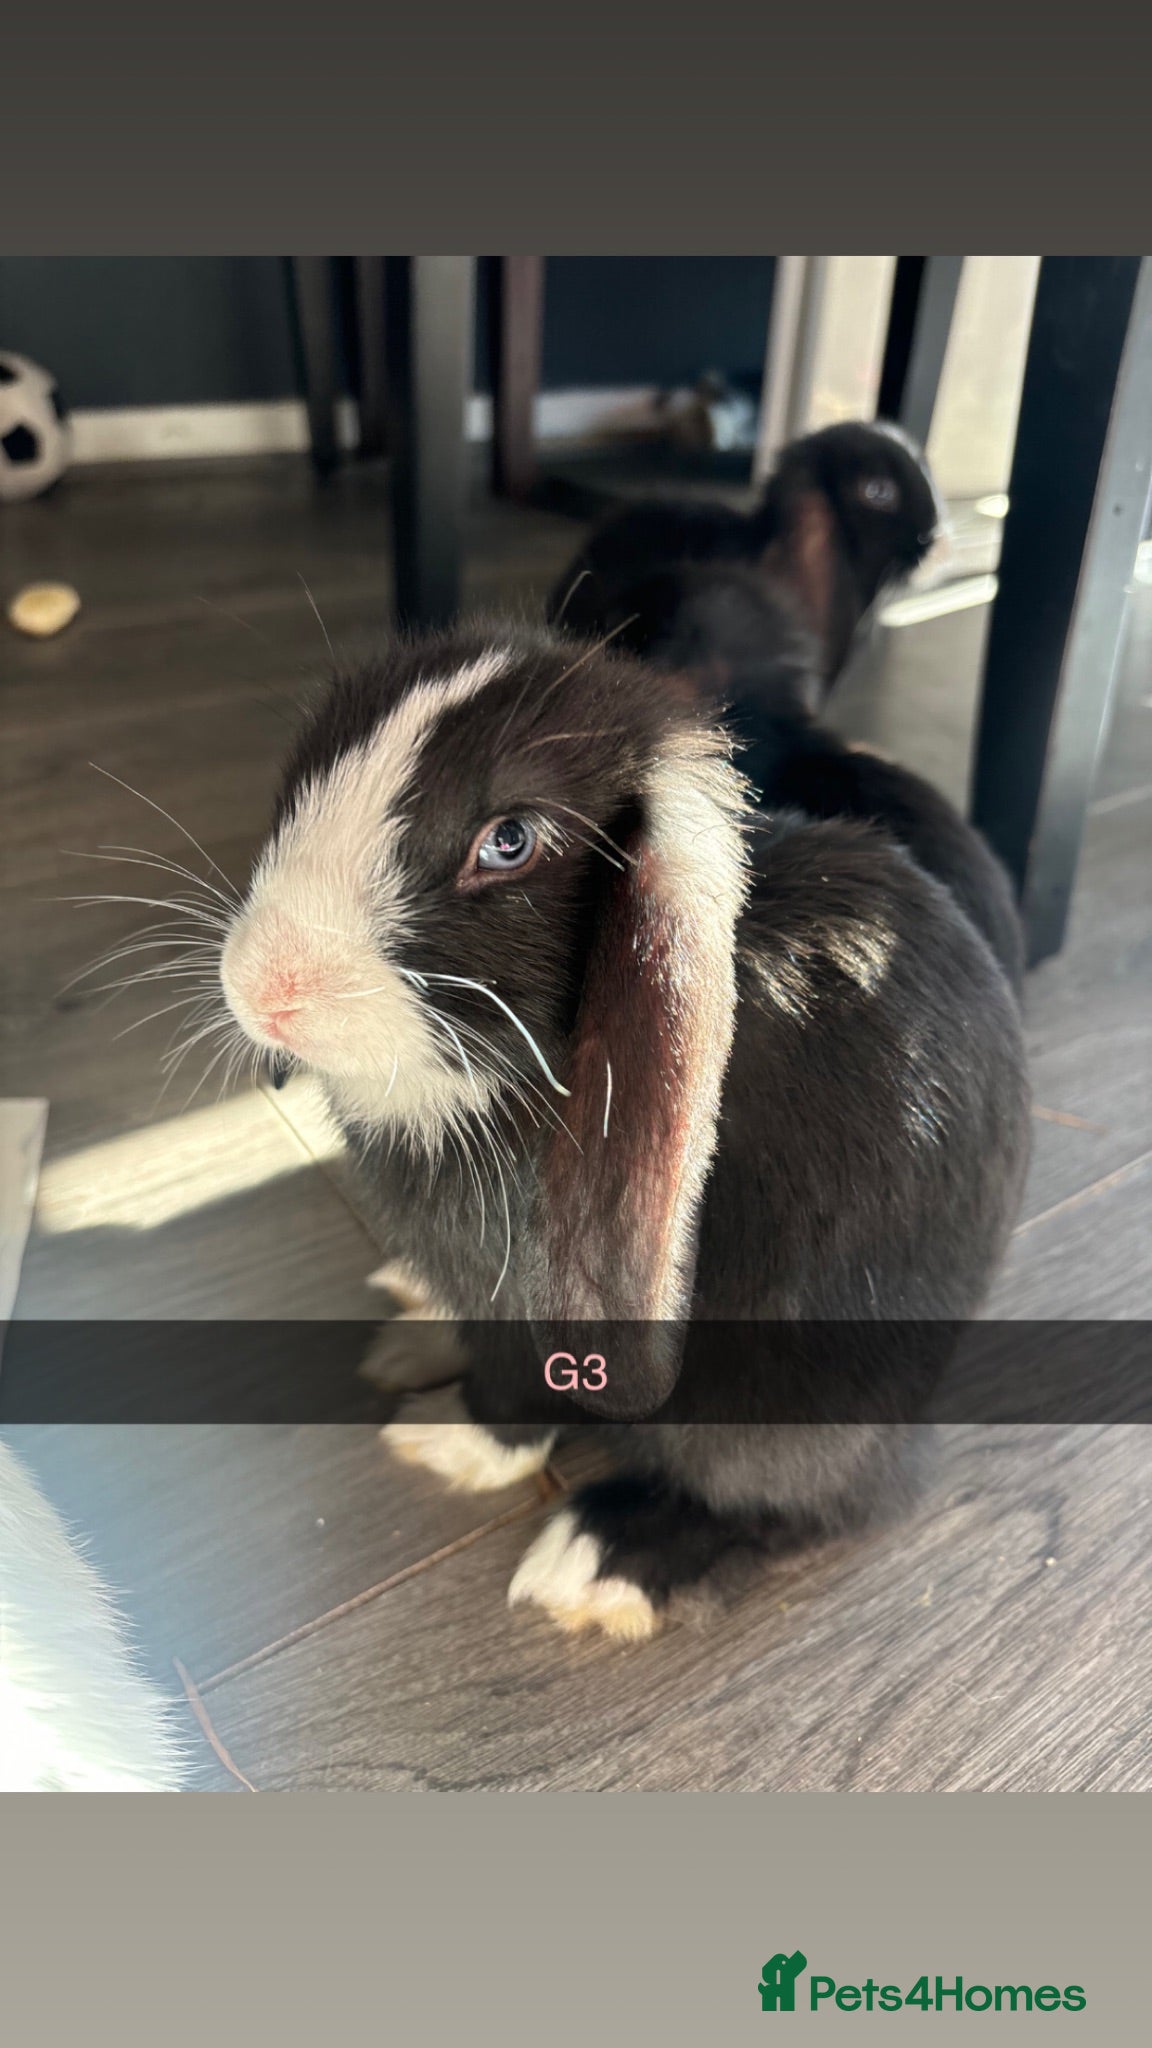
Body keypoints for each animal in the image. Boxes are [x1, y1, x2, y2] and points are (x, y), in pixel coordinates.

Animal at [215, 620, 1031, 1641]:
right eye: (310, 762)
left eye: (509, 841)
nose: (265, 988)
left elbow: (518, 1391)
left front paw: (444, 1444)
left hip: (780, 1402)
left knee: (799, 1504)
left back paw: (602, 1561)